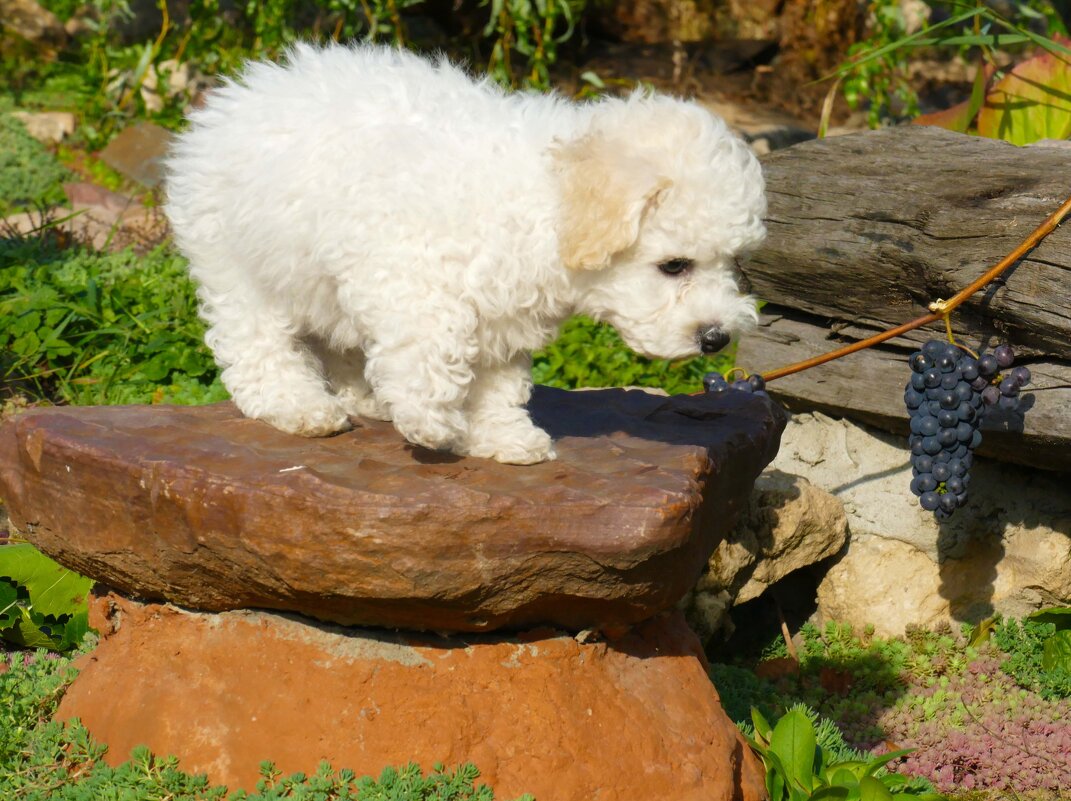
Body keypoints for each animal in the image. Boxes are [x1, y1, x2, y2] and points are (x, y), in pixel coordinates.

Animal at [164, 43, 771, 466]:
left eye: (732, 263)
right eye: (674, 266)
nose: (716, 337)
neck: (542, 202)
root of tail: (238, 93)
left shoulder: (505, 316)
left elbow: (497, 383)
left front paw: (502, 436)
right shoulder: (408, 276)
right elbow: (433, 352)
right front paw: (433, 423)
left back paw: (364, 398)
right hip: (237, 263)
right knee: (257, 342)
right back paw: (301, 406)